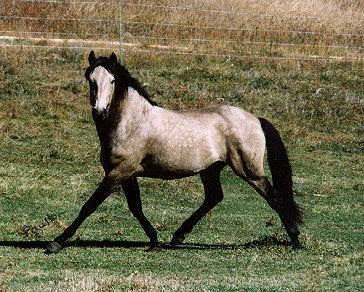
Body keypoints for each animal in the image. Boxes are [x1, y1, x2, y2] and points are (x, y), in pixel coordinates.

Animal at [45, 52, 302, 253]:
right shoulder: (126, 173)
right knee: (214, 197)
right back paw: (177, 237)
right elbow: (135, 207)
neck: (132, 122)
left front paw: (56, 242)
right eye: (90, 79)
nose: (100, 111)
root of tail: (256, 119)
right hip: (211, 169)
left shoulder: (120, 171)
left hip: (249, 171)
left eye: (112, 80)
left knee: (275, 197)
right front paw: (155, 241)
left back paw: (296, 240)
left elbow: (90, 204)